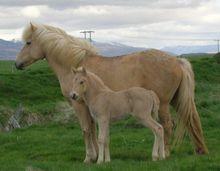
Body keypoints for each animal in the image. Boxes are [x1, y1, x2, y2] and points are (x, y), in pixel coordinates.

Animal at [15, 23, 208, 163]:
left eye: (28, 42)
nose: (17, 64)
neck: (75, 64)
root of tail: (177, 60)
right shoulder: (92, 109)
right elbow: (95, 131)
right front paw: (98, 156)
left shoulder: (79, 105)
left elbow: (86, 130)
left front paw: (89, 158)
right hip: (175, 101)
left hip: (164, 105)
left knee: (166, 126)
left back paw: (164, 154)